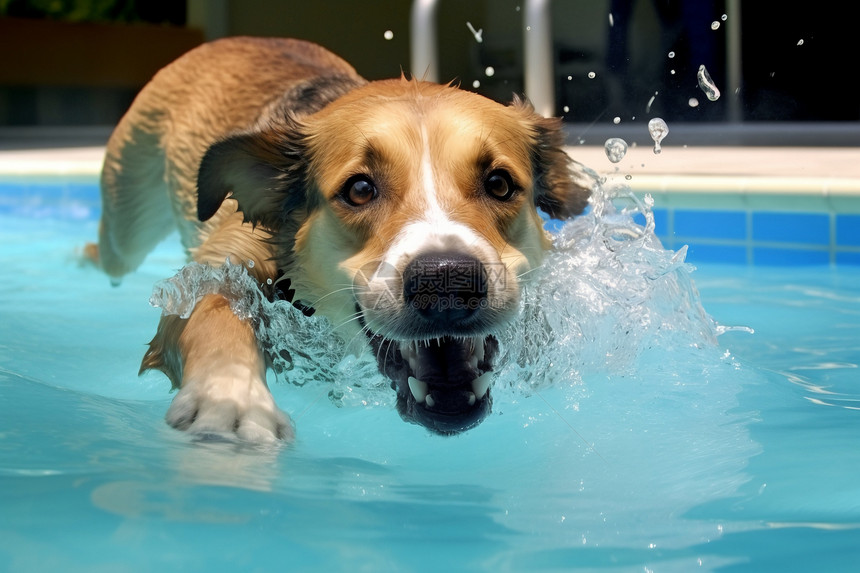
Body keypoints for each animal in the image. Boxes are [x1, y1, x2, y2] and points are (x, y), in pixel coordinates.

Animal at [89, 36, 592, 442]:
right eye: (360, 189)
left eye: (500, 184)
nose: (447, 281)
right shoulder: (226, 263)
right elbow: (212, 309)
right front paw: (230, 399)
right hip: (127, 219)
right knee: (111, 253)